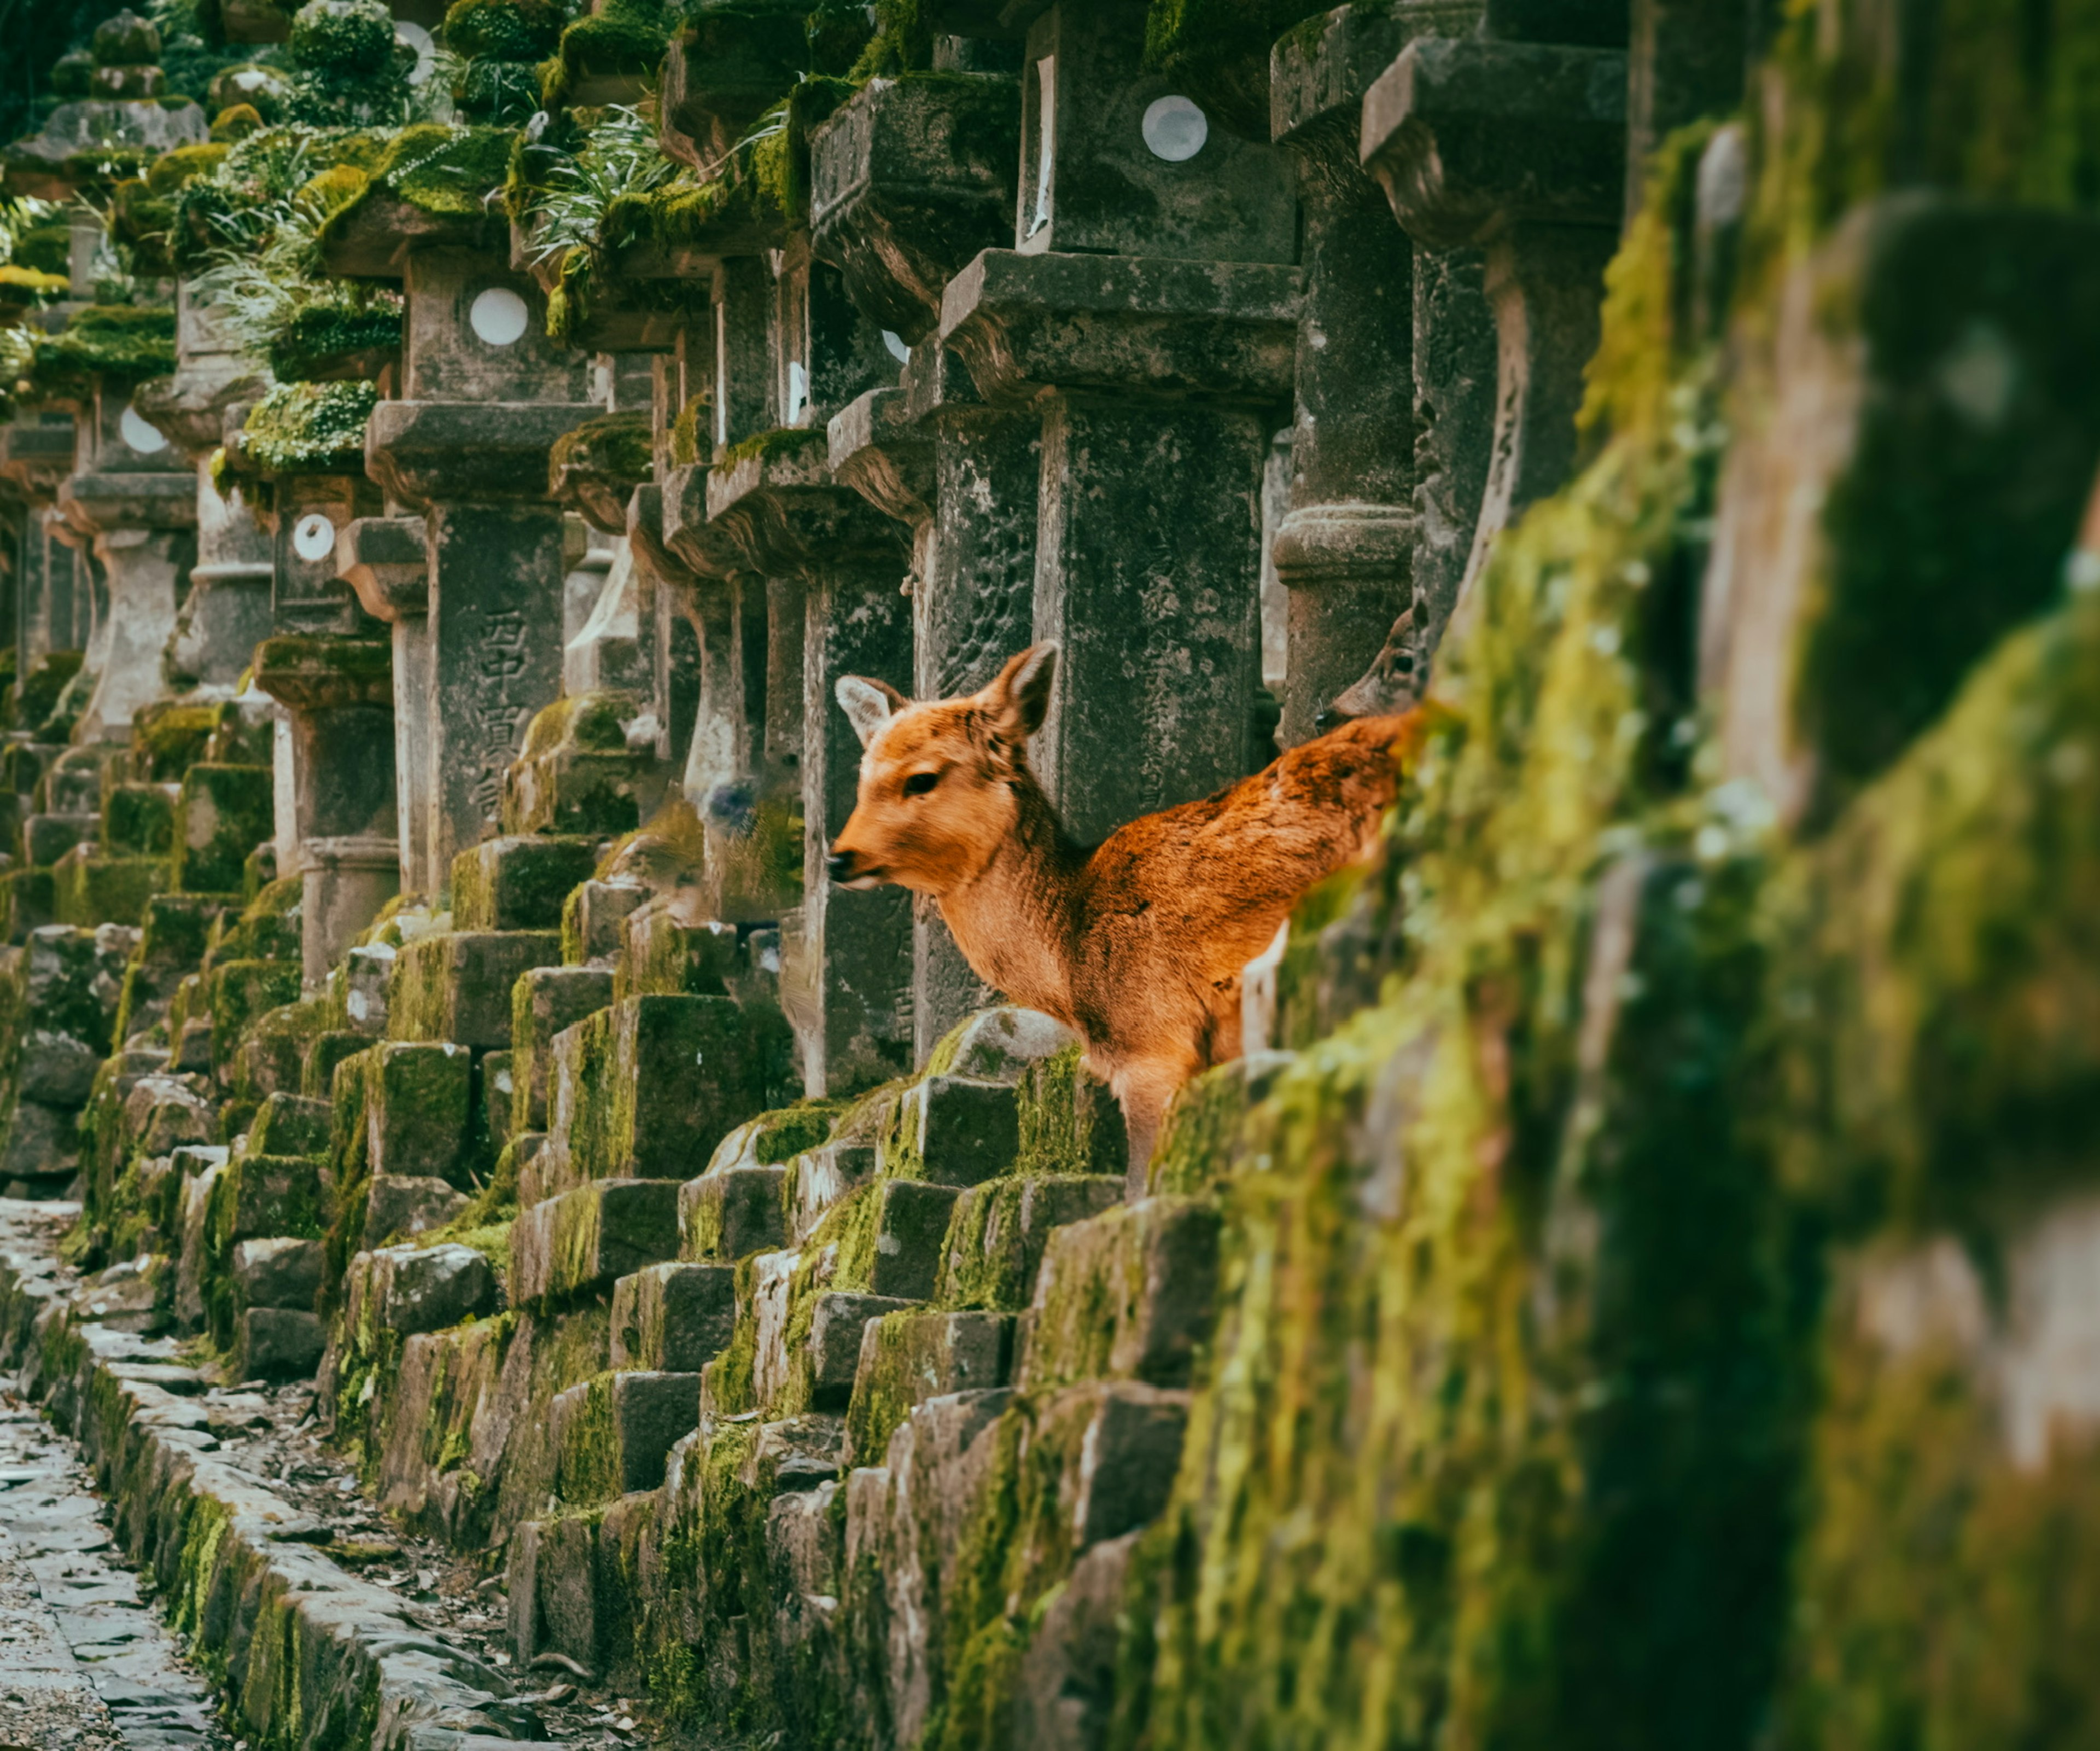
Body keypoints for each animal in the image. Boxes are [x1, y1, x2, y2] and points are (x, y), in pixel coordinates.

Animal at [819, 634, 1428, 1184]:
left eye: (922, 777)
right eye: (863, 777)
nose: (838, 858)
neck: (1070, 964)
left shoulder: (1155, 1045)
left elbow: (1136, 1186)